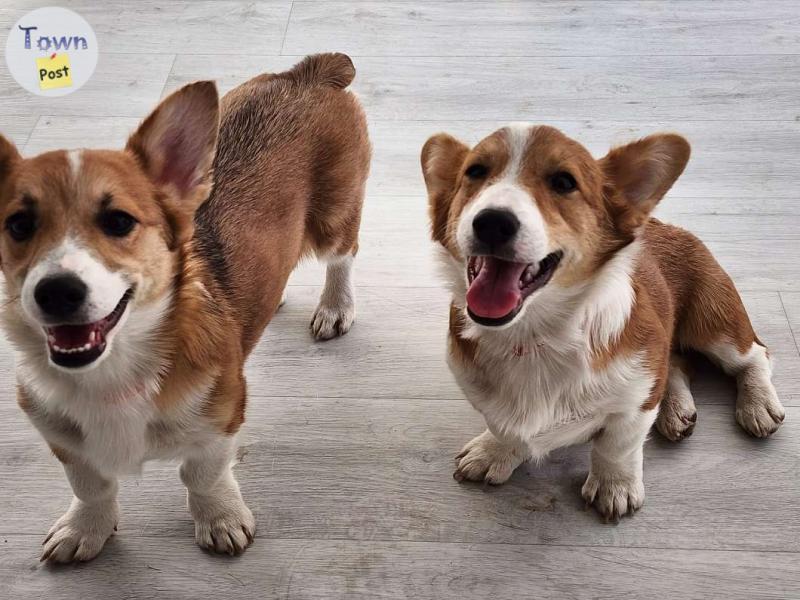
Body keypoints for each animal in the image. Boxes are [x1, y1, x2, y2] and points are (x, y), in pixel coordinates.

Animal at [0, 54, 368, 560]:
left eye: (119, 222)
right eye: (18, 225)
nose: (56, 292)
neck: (112, 373)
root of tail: (306, 71)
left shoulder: (221, 416)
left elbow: (202, 476)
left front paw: (221, 519)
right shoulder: (63, 439)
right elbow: (90, 486)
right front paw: (85, 528)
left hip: (335, 216)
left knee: (343, 255)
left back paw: (334, 307)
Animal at [422, 125, 784, 520]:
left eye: (564, 182)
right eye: (475, 172)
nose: (491, 221)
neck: (536, 336)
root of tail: (663, 223)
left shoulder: (635, 397)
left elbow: (617, 444)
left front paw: (615, 486)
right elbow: (504, 427)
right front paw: (495, 452)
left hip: (716, 323)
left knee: (754, 355)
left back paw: (757, 405)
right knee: (676, 361)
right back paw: (677, 410)